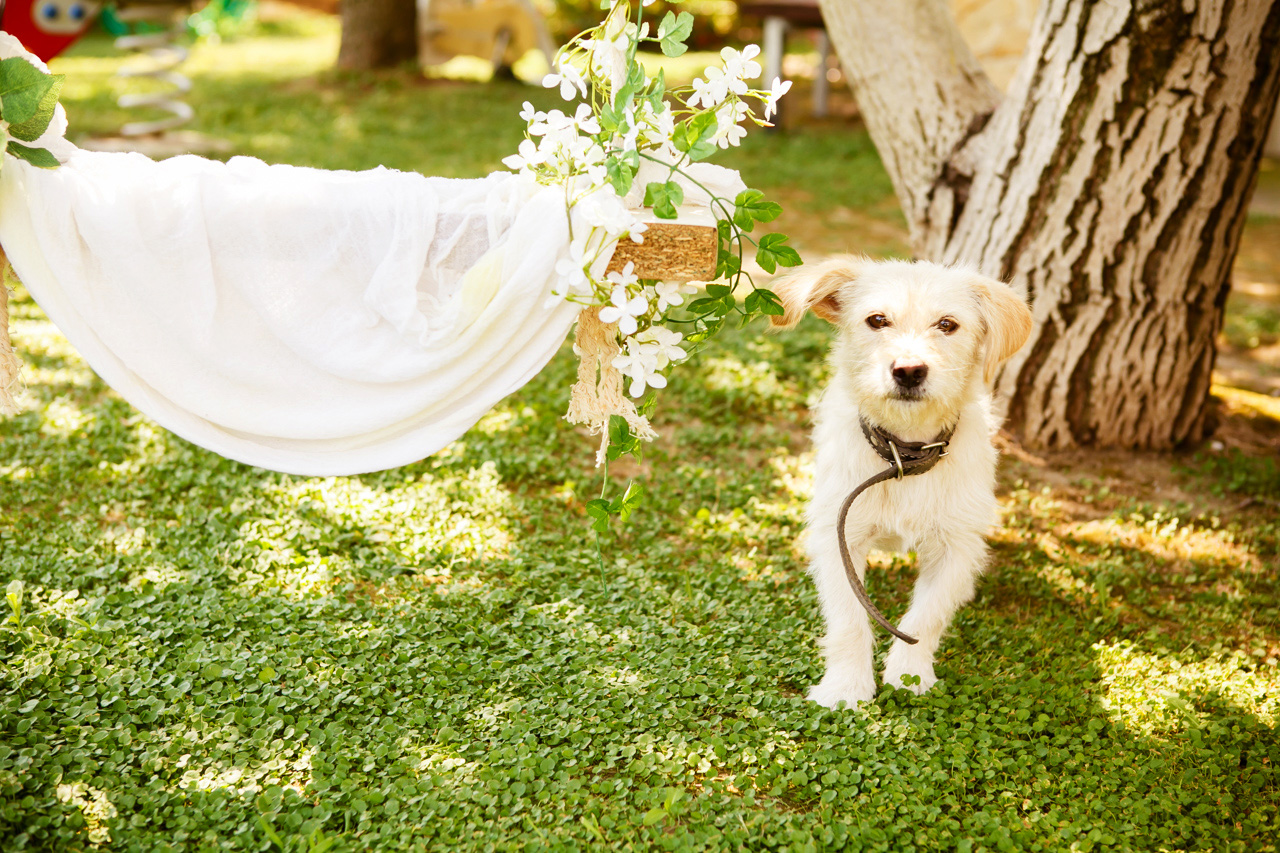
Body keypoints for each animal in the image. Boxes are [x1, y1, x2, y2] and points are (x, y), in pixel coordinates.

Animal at [768, 253, 1029, 701]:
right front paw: (846, 687)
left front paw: (909, 675)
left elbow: (927, 616)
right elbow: (849, 619)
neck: (903, 455)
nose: (908, 371)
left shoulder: (957, 547)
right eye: (877, 320)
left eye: (947, 324)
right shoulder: (840, 536)